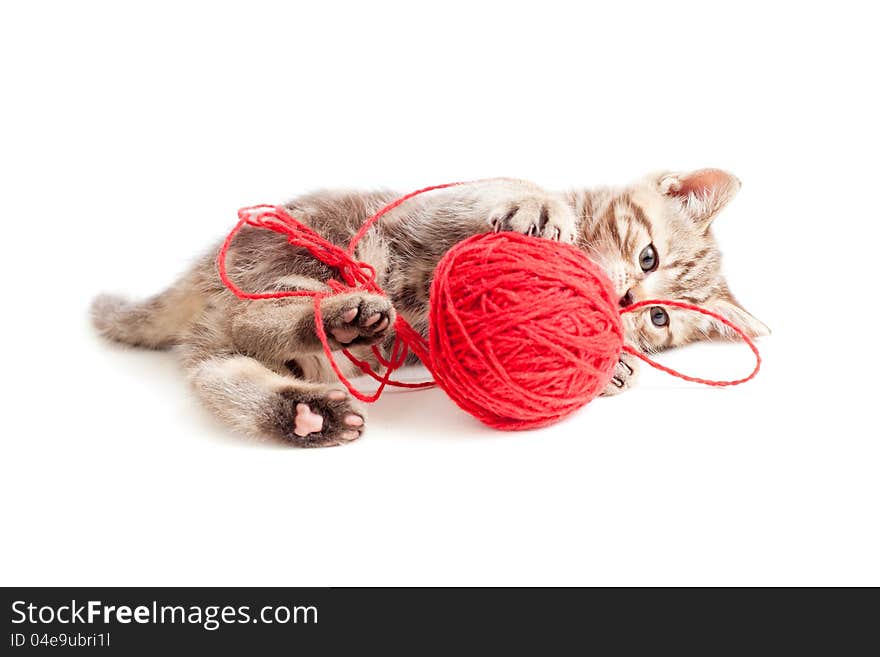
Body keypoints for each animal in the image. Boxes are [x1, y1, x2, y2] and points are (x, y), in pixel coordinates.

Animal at [89, 169, 764, 446]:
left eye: (659, 319)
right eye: (649, 257)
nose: (626, 300)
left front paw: (613, 365)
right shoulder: (434, 206)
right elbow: (508, 189)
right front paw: (541, 206)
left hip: (239, 330)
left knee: (222, 366)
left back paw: (308, 411)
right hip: (300, 253)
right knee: (254, 318)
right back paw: (339, 319)